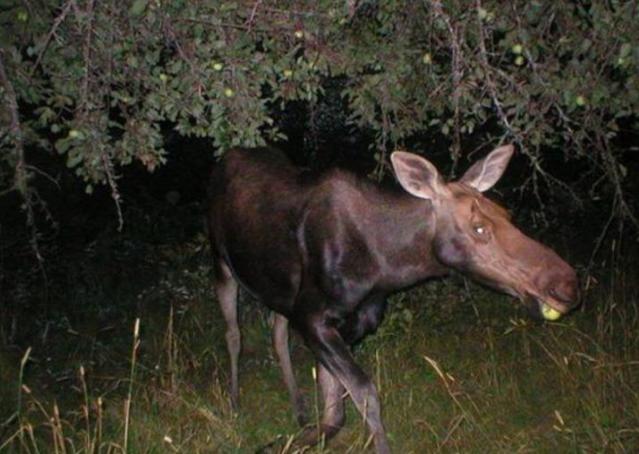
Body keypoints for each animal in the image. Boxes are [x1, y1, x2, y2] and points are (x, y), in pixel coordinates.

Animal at [209, 145, 580, 450]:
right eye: (478, 227)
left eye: (507, 214)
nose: (566, 284)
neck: (385, 266)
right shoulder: (311, 314)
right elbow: (365, 393)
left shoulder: (358, 319)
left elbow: (335, 403)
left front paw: (307, 433)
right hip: (221, 262)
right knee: (233, 333)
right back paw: (234, 400)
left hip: (278, 286)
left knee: (276, 332)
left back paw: (298, 408)